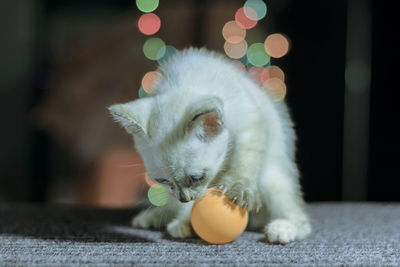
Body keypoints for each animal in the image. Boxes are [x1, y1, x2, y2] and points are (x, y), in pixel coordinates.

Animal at [109, 48, 312, 245]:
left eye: (196, 177)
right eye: (163, 180)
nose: (184, 198)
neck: (190, 80)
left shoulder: (251, 122)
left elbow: (245, 158)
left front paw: (239, 186)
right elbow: (185, 206)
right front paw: (183, 218)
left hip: (271, 178)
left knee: (301, 219)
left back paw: (284, 229)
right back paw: (164, 219)